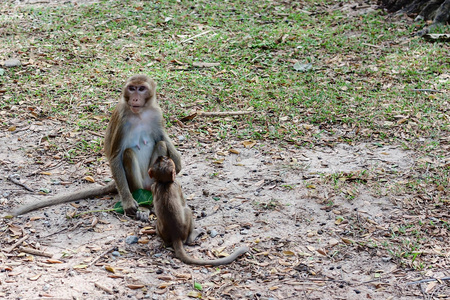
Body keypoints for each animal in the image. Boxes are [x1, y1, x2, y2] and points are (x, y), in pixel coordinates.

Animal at [9, 75, 181, 220]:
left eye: (142, 88)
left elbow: (162, 138)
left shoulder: (156, 113)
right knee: (128, 154)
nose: (135, 97)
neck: (140, 114)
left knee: (160, 145)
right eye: (132, 88)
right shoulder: (121, 118)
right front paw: (128, 202)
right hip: (134, 185)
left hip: (150, 178)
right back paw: (143, 206)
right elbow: (115, 156)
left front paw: (177, 163)